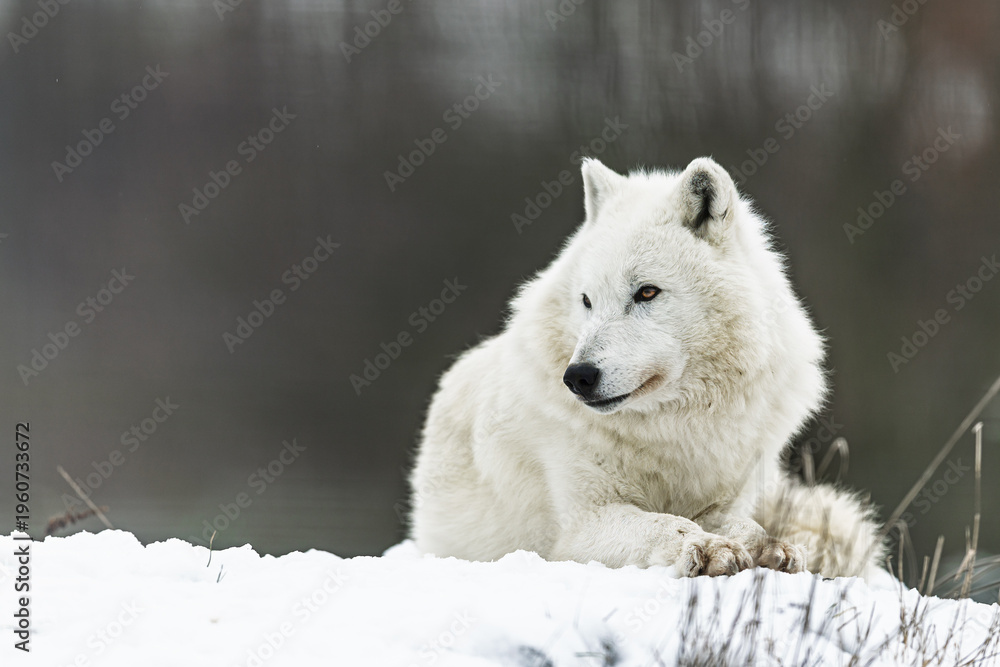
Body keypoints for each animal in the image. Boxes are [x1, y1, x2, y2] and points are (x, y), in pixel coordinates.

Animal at [409, 157, 885, 578]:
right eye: (586, 300)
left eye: (647, 292)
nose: (577, 377)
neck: (675, 427)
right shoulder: (580, 528)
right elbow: (664, 524)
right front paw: (707, 549)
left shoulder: (724, 501)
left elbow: (745, 524)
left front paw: (770, 547)